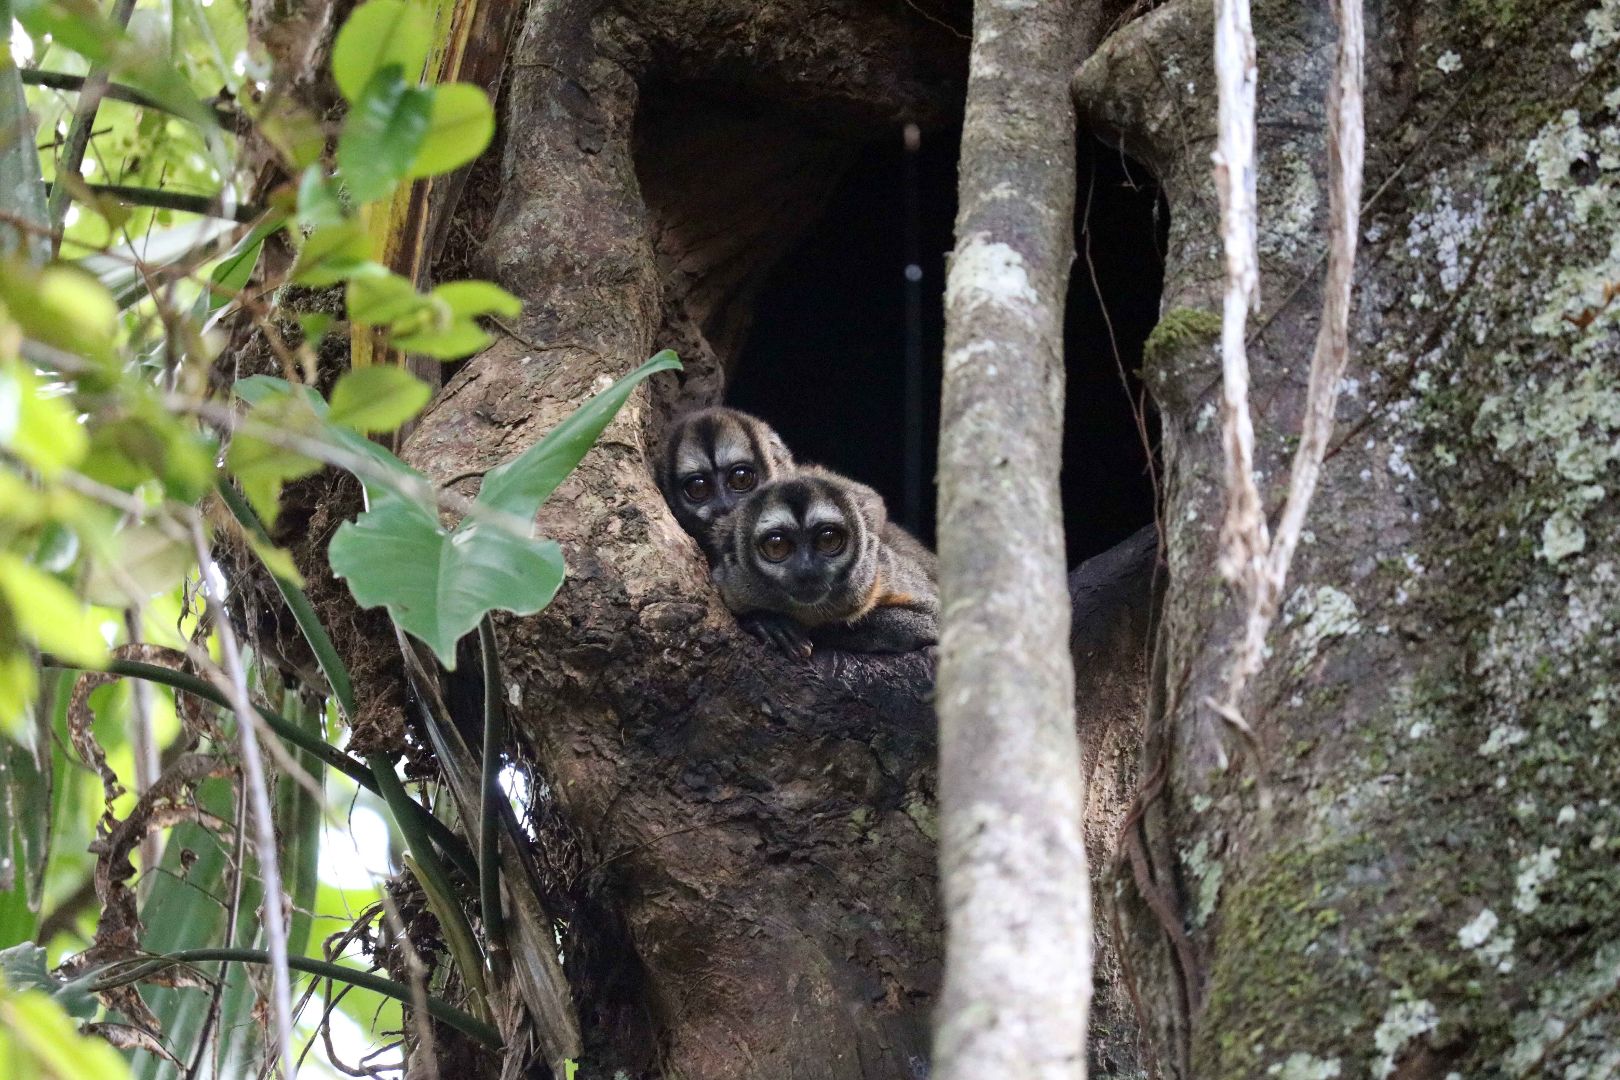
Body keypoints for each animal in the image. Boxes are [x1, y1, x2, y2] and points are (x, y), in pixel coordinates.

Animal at [711, 468, 938, 658]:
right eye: (777, 546)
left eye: (828, 540)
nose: (806, 570)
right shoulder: (732, 587)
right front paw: (767, 622)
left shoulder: (879, 574)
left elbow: (932, 618)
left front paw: (774, 625)